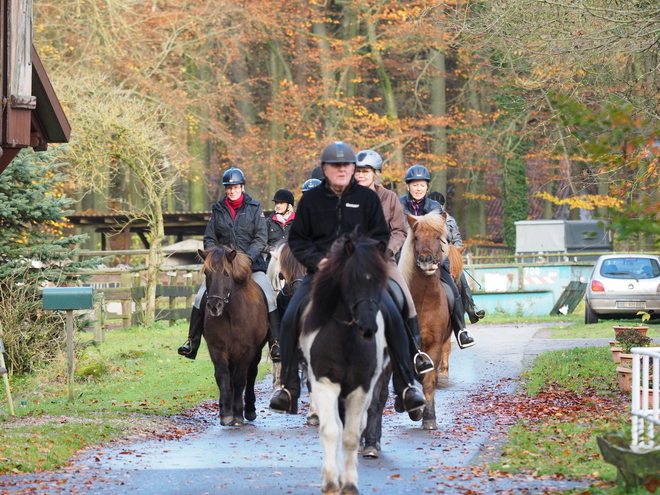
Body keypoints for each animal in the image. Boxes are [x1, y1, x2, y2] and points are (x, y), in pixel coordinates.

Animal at [199, 246, 268, 428]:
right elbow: (222, 377)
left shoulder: (246, 350)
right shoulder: (217, 348)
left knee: (251, 374)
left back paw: (249, 410)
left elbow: (239, 379)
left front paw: (237, 415)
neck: (230, 314)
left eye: (226, 274)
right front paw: (226, 414)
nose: (213, 306)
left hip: (256, 351)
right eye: (207, 273)